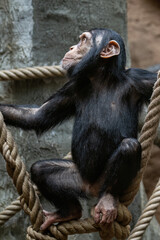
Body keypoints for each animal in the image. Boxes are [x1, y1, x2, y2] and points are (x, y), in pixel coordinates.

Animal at [0, 29, 158, 230]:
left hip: (103, 182)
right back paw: (68, 212)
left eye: (83, 40)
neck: (102, 79)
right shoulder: (71, 87)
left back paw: (107, 200)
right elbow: (37, 115)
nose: (71, 47)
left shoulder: (139, 79)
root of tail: (92, 189)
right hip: (75, 179)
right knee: (41, 169)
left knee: (129, 146)